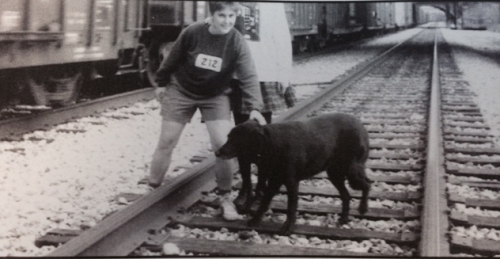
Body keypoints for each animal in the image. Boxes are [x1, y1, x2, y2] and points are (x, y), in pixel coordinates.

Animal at [215, 113, 372, 236]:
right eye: (228, 137)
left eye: (236, 139)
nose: (217, 152)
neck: (272, 144)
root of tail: (361, 126)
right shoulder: (273, 181)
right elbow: (264, 201)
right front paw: (255, 219)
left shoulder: (291, 183)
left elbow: (291, 207)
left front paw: (288, 227)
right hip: (335, 173)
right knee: (347, 195)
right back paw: (344, 219)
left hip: (351, 171)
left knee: (367, 184)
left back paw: (363, 208)